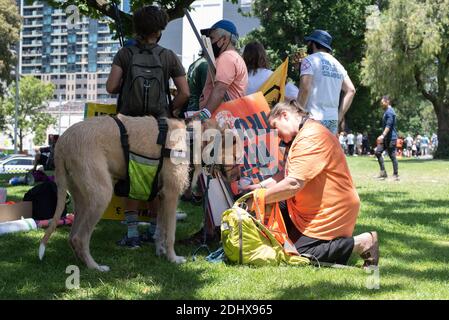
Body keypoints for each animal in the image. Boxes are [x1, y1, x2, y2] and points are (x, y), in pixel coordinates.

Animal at [39, 114, 191, 272]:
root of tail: (62, 142)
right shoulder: (171, 194)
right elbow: (171, 233)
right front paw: (173, 258)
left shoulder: (162, 197)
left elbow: (160, 230)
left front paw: (160, 252)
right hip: (101, 194)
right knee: (79, 238)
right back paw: (95, 267)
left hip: (81, 197)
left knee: (72, 236)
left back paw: (82, 262)